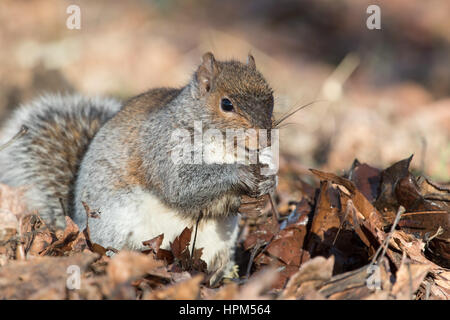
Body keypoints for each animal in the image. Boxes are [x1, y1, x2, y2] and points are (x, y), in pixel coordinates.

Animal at [0, 53, 276, 284]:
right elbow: (181, 187)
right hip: (117, 223)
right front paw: (238, 173)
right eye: (226, 104)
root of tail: (78, 224)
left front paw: (264, 187)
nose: (265, 137)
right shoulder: (162, 149)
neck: (225, 146)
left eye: (271, 99)